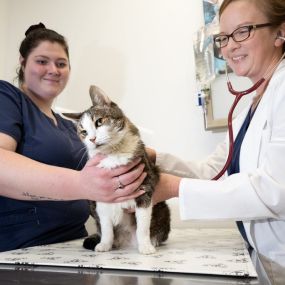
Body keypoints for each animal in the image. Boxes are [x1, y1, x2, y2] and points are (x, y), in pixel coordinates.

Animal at [63, 85, 170, 253]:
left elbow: (143, 224)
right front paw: (104, 244)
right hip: (90, 203)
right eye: (83, 132)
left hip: (163, 211)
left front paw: (145, 246)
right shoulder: (100, 192)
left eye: (99, 122)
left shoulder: (145, 185)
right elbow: (106, 226)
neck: (114, 154)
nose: (92, 139)